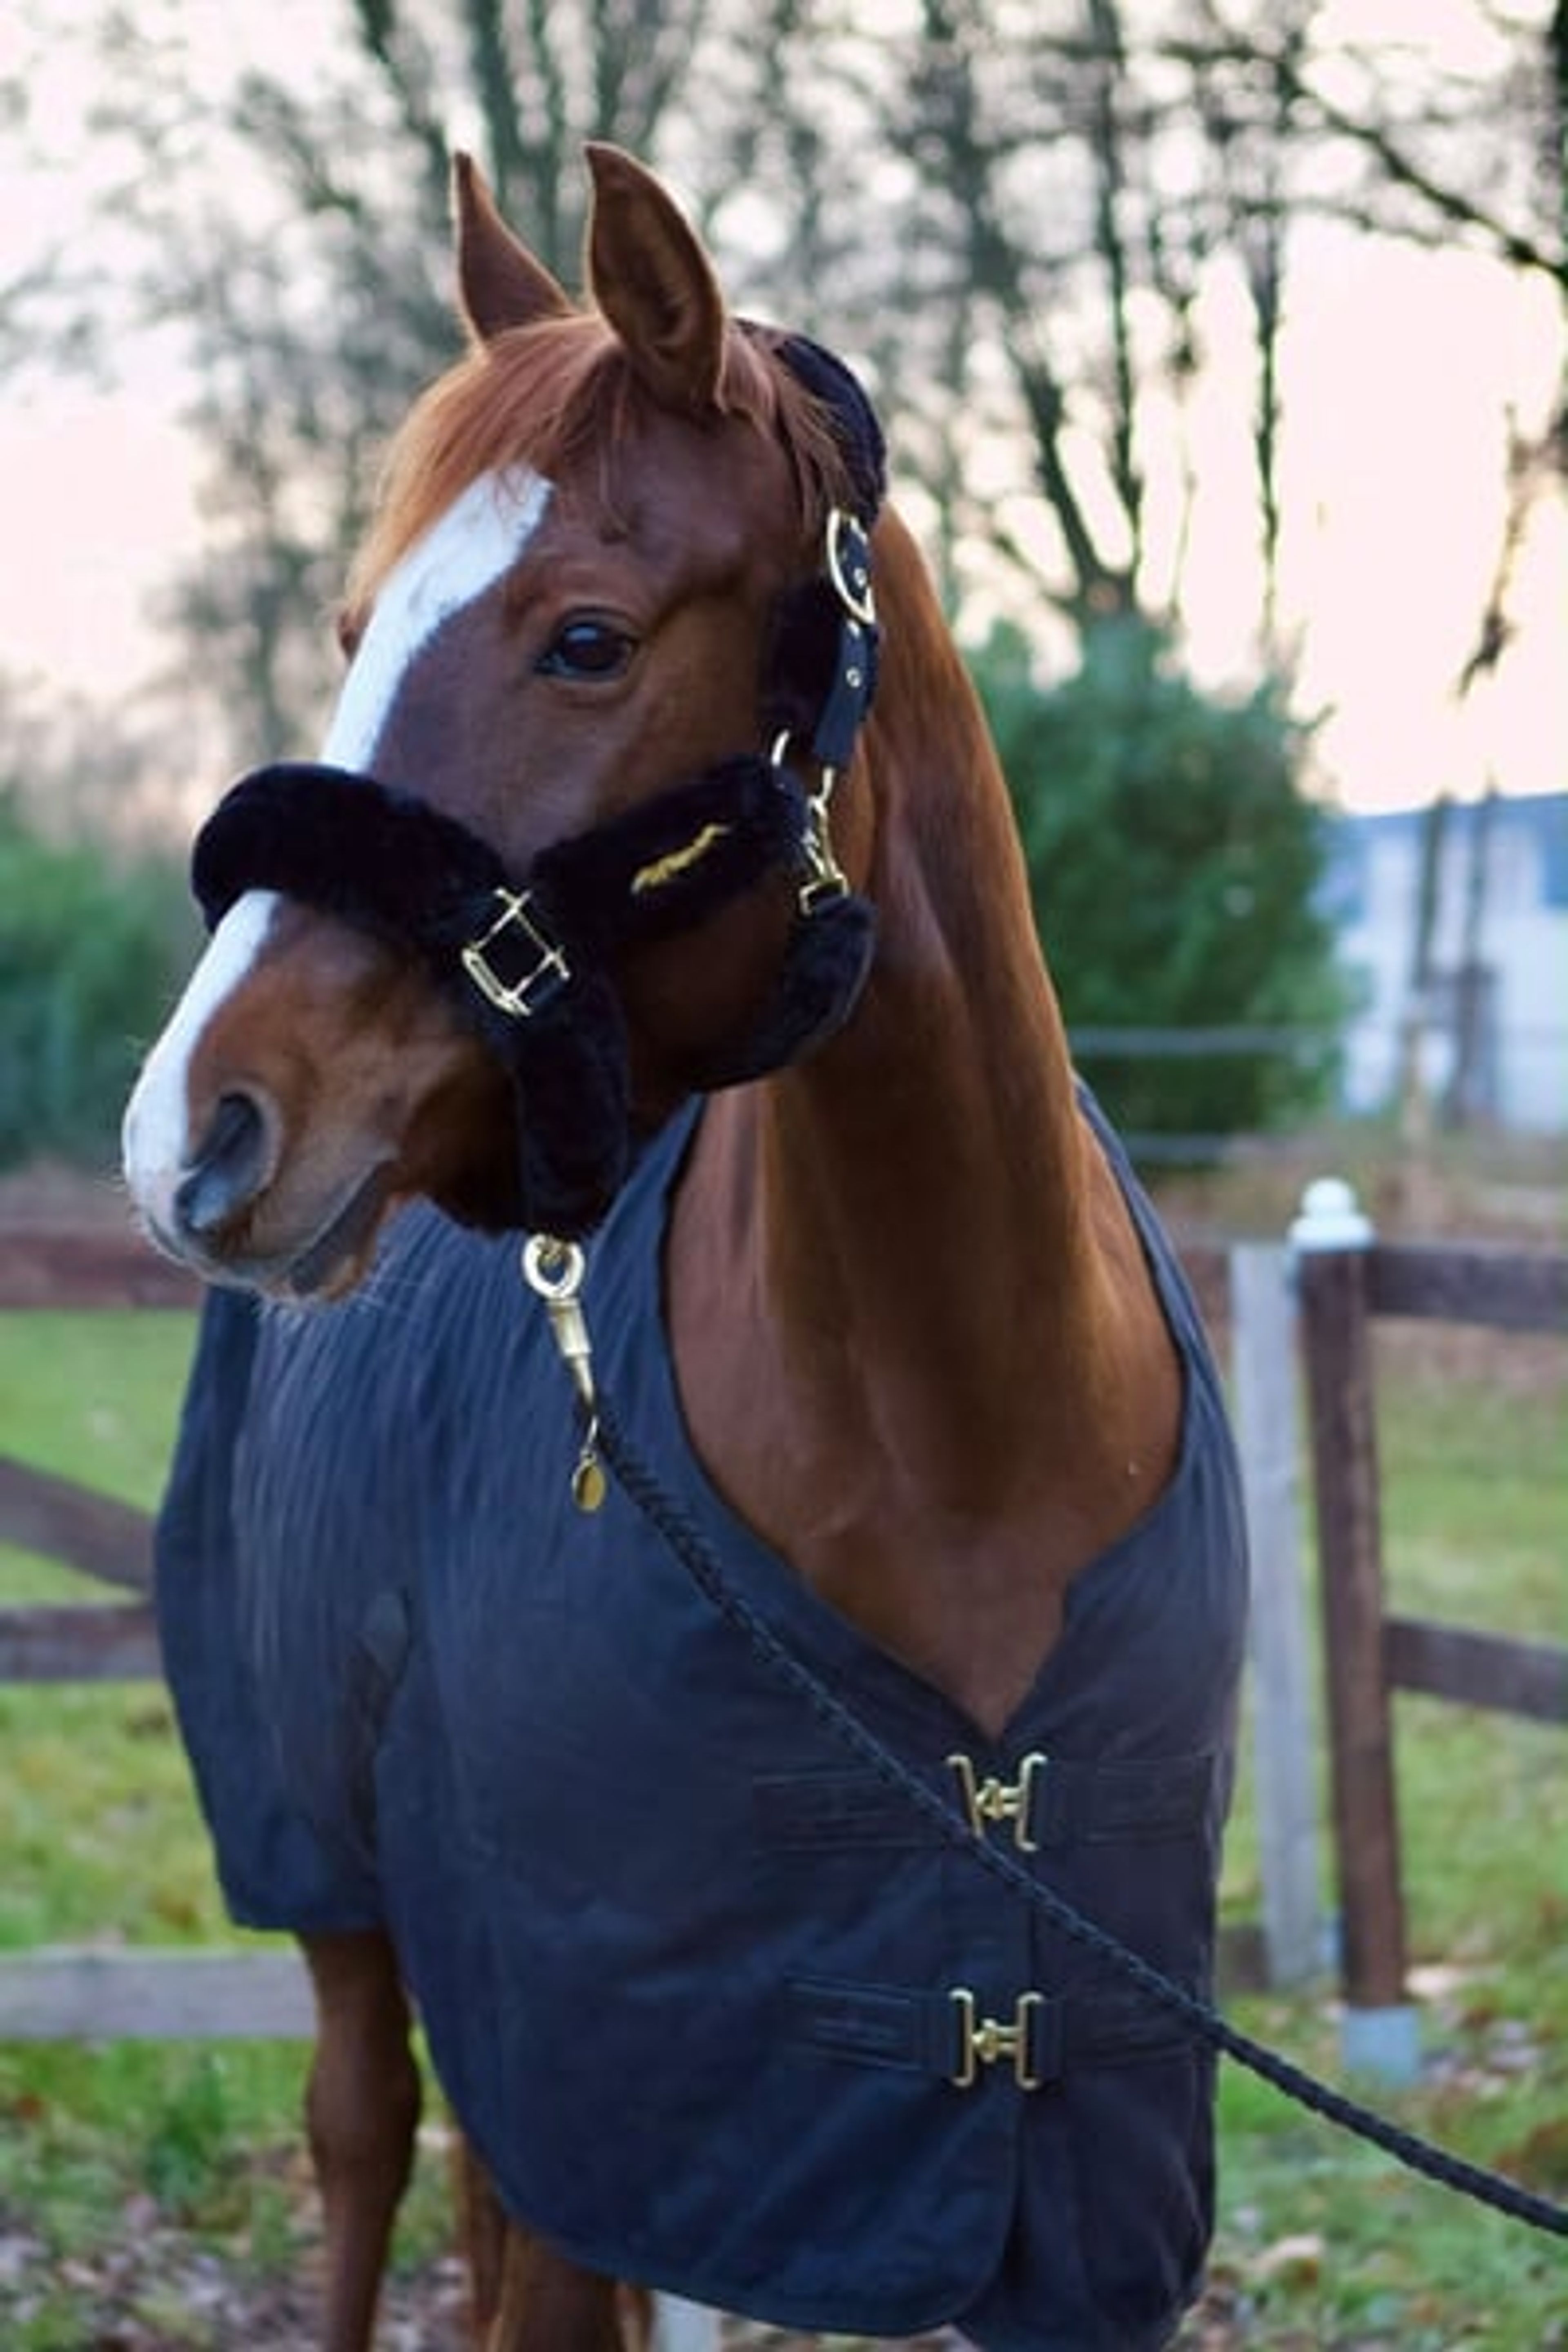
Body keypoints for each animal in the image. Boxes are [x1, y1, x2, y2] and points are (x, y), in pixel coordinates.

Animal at [122, 144, 1248, 2352]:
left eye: (584, 638)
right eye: (356, 624)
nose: (193, 1129)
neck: (969, 1432)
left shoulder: (1043, 2199)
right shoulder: (600, 2097)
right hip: (330, 1871)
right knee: (361, 2135)